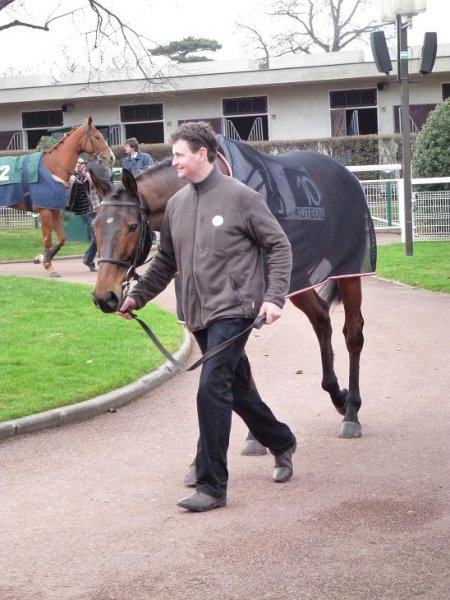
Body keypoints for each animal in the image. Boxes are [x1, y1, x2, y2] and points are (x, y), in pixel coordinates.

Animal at [0, 116, 116, 278]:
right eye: (97, 136)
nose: (111, 157)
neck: (52, 167)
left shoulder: (54, 210)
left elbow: (61, 238)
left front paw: (41, 258)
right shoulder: (44, 211)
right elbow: (47, 239)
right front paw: (49, 266)